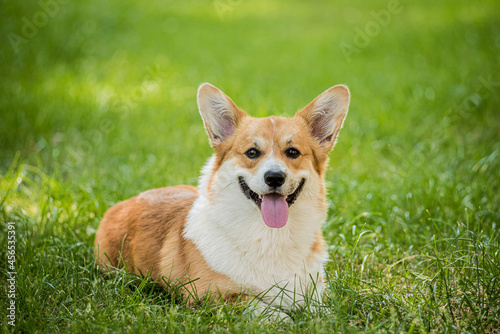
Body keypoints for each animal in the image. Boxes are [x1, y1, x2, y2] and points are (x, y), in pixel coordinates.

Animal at [95, 83, 350, 318]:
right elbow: (267, 310)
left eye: (293, 152)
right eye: (251, 153)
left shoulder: (316, 290)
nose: (275, 177)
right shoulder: (209, 295)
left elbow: (326, 311)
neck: (271, 235)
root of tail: (125, 202)